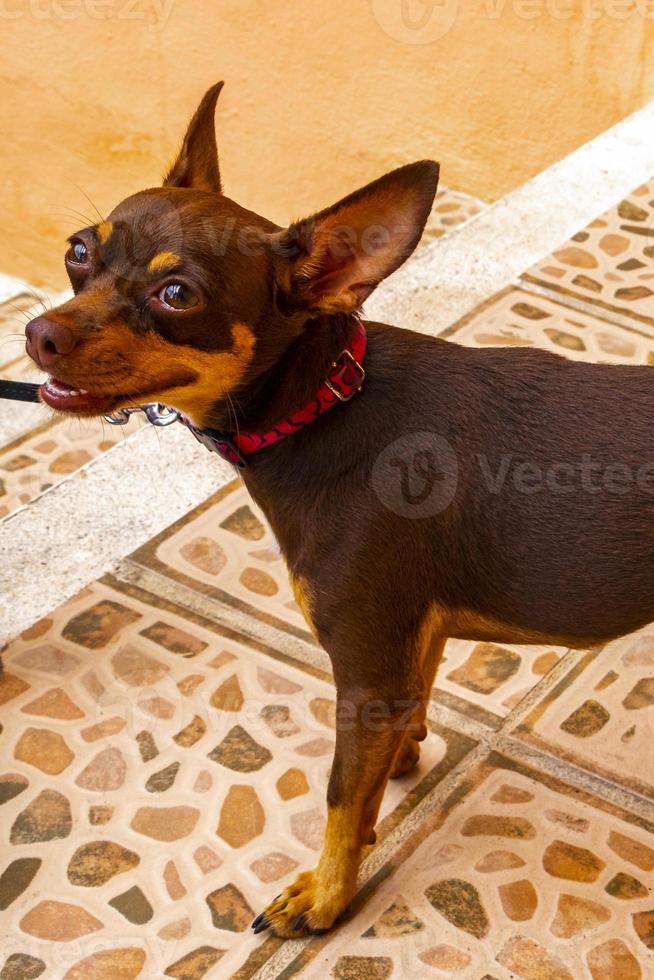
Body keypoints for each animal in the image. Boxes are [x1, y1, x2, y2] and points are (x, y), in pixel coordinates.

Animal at [25, 82, 654, 936]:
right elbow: (395, 735)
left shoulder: (364, 668)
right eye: (77, 252)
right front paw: (399, 771)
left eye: (176, 294)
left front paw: (323, 895)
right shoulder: (403, 648)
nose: (38, 333)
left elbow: (336, 797)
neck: (324, 402)